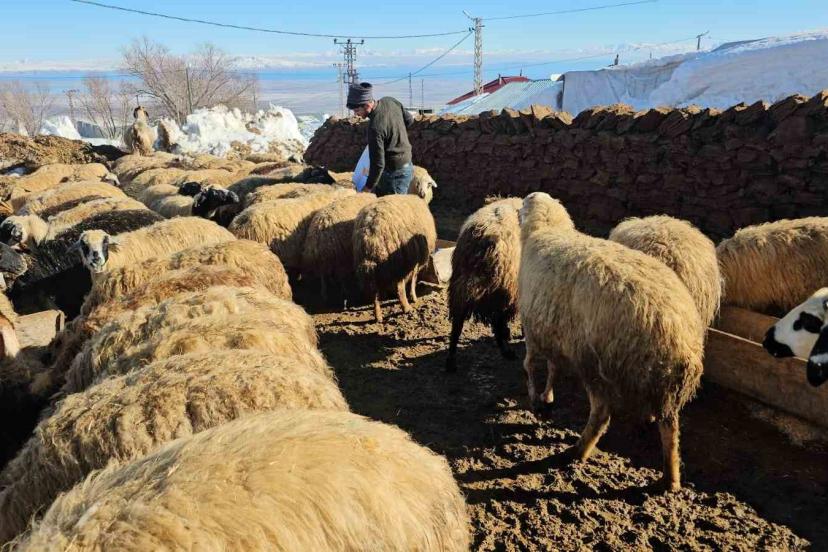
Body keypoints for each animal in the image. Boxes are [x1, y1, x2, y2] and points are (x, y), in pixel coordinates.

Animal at [353, 194, 437, 323]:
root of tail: (371, 233)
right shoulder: (414, 259)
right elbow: (414, 278)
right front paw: (413, 296)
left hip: (371, 266)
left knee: (374, 290)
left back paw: (378, 316)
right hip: (398, 262)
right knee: (399, 287)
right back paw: (406, 308)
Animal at [447, 197, 550, 372]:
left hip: (460, 287)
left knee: (457, 324)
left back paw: (451, 362)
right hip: (503, 289)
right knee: (497, 320)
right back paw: (506, 350)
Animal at [517, 192, 705, 491]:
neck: (547, 229)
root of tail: (677, 334)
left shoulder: (533, 327)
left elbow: (531, 365)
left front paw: (536, 398)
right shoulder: (554, 331)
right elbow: (553, 367)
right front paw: (548, 396)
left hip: (596, 364)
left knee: (601, 414)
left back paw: (578, 452)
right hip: (665, 388)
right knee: (670, 429)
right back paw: (670, 477)